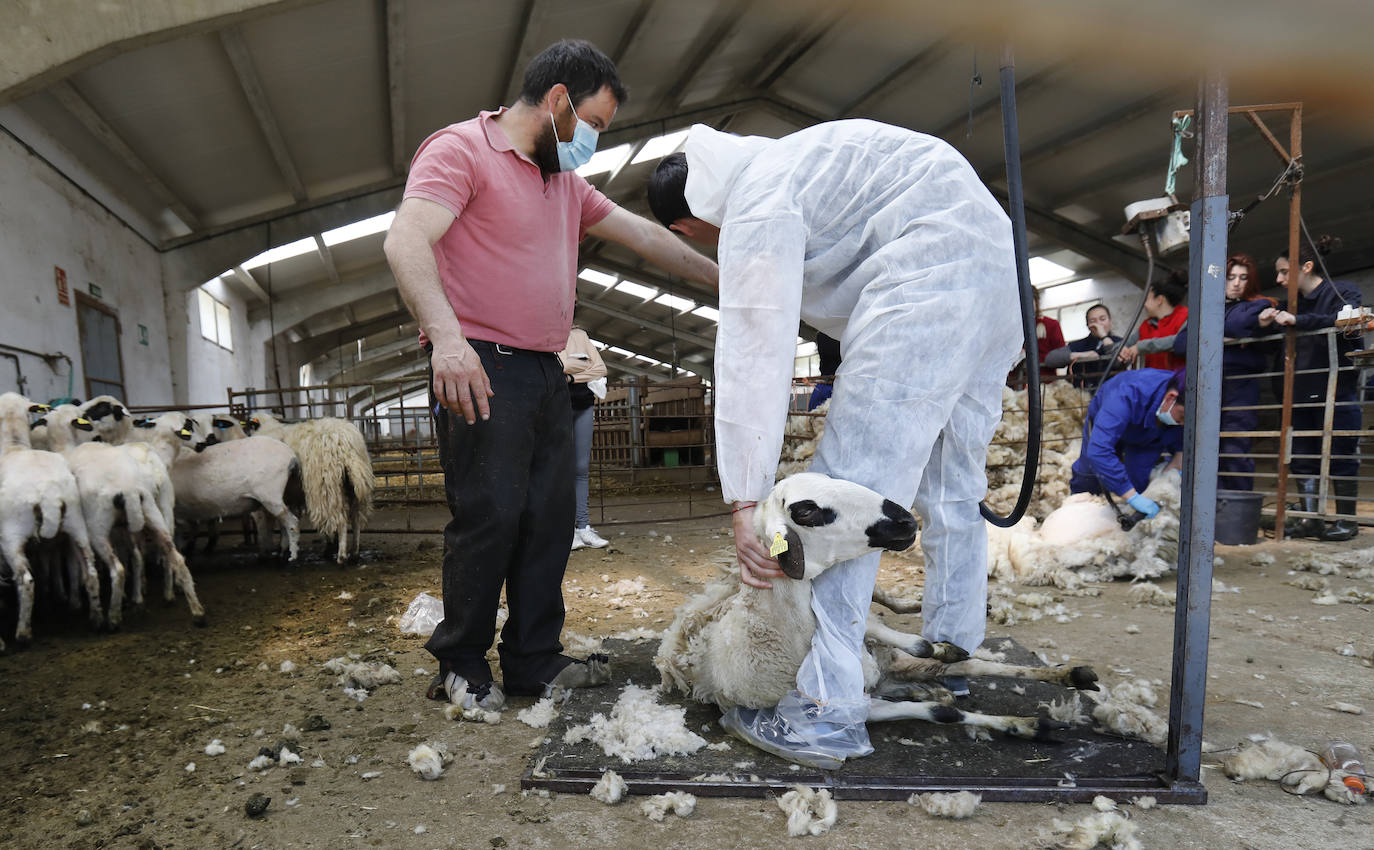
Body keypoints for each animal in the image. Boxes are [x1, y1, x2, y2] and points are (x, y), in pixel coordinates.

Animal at [0, 392, 101, 645]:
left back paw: (23, 634)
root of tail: (49, 494)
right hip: (77, 526)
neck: (13, 446)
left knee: (26, 580)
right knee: (90, 572)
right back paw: (97, 619)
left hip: (11, 537)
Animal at [659, 475, 1099, 741]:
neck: (774, 631)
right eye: (807, 510)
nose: (905, 520)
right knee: (952, 668)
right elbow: (942, 712)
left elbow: (906, 638)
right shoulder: (853, 708)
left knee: (894, 610)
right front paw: (1027, 725)